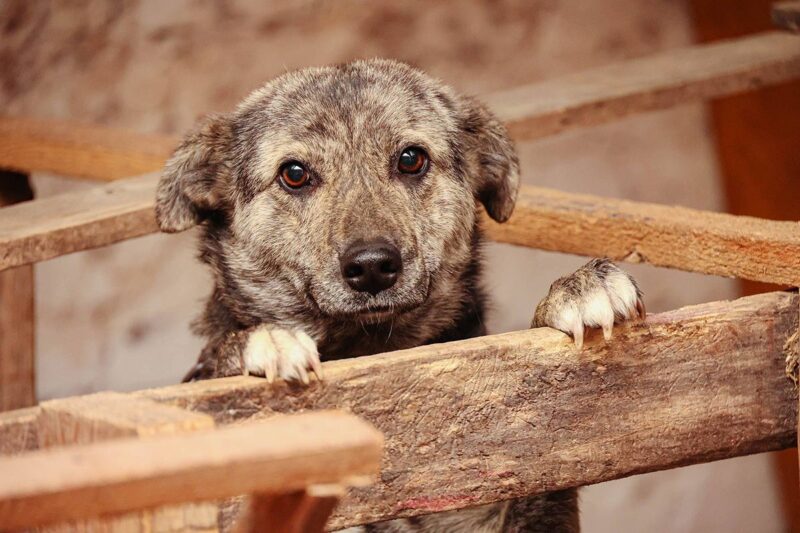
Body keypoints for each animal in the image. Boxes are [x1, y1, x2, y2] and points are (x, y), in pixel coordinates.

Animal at [156, 59, 644, 532]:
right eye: (294, 174)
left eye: (411, 159)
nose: (372, 266)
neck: (369, 351)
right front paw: (260, 344)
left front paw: (576, 289)